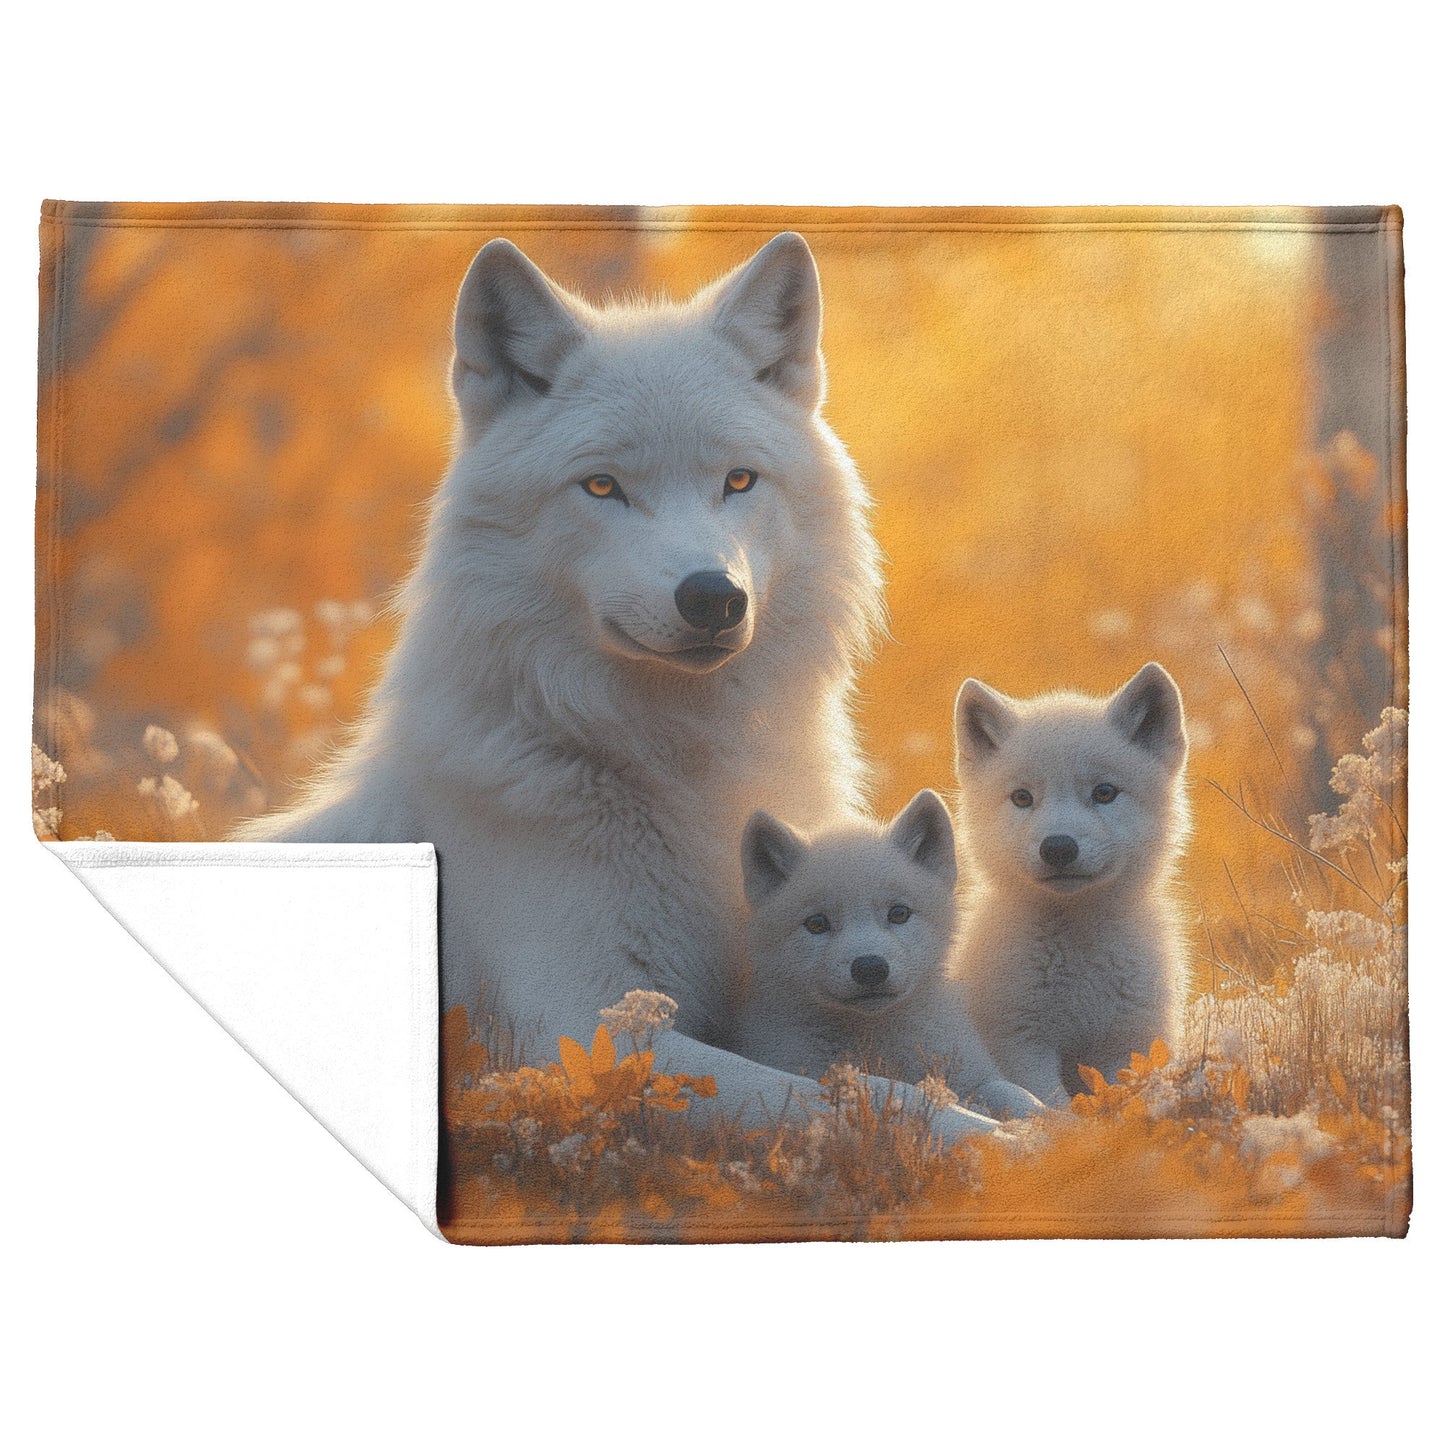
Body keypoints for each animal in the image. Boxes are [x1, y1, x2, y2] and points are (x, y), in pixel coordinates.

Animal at [237, 232, 996, 1139]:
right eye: (602, 486)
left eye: (738, 480)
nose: (712, 596)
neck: (681, 766)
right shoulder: (578, 1026)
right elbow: (863, 1100)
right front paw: (1019, 1145)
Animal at [731, 789, 1045, 1120]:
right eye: (816, 924)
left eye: (898, 914)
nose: (870, 968)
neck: (875, 1034)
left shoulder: (971, 1070)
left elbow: (1011, 1092)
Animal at [950, 662, 1192, 1103]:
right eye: (1022, 798)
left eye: (1104, 792)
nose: (1058, 848)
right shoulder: (1023, 1044)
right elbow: (1058, 1109)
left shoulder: (1127, 1044)